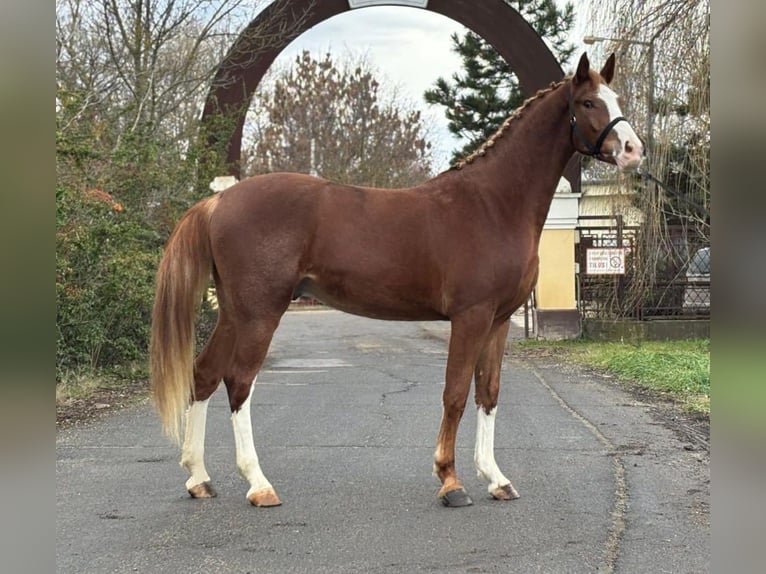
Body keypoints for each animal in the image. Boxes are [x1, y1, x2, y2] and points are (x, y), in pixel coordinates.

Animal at [153, 54, 644, 508]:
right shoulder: (470, 317)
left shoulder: (499, 321)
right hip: (260, 311)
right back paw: (258, 485)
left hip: (234, 312)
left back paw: (199, 478)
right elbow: (455, 394)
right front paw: (451, 481)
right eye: (588, 102)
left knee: (204, 374)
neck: (493, 204)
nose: (634, 149)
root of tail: (218, 201)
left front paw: (496, 479)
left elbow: (488, 393)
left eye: (616, 98)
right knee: (238, 381)